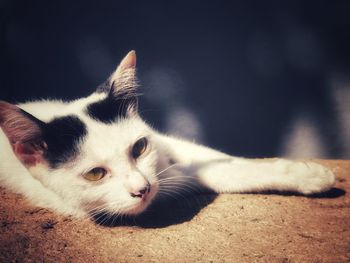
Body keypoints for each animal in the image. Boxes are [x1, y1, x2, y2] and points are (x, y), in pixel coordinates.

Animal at [0, 51, 334, 219]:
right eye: (95, 174)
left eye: (139, 148)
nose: (143, 189)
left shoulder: (168, 149)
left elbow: (222, 165)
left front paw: (304, 174)